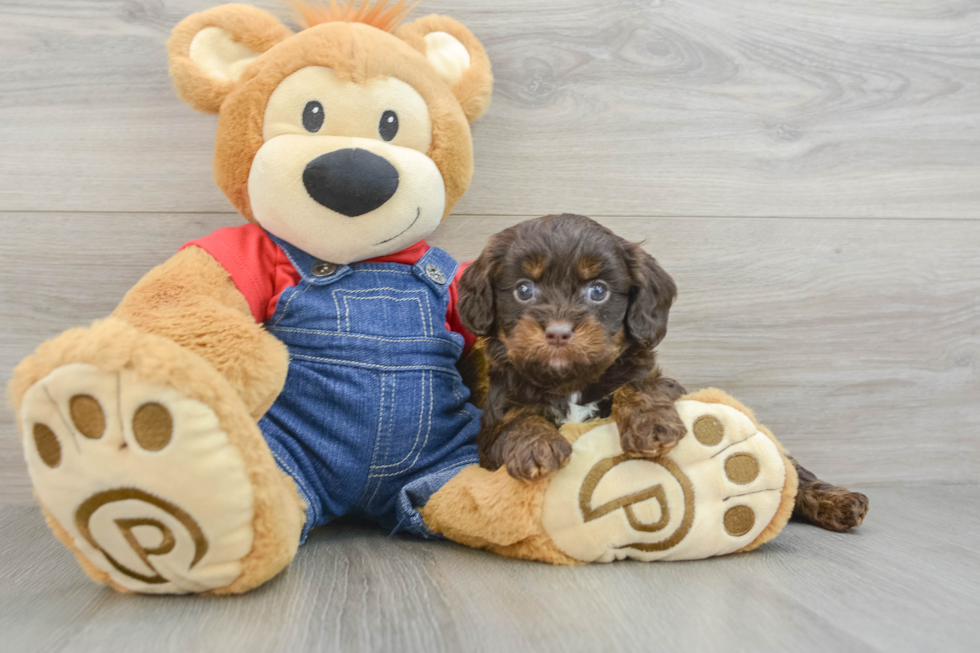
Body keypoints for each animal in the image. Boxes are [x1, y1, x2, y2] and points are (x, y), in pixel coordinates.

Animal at [456, 214, 684, 478]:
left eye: (599, 290)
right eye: (523, 289)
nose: (558, 333)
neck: (568, 383)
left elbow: (640, 384)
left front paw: (651, 422)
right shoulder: (490, 433)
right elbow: (514, 419)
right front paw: (536, 444)